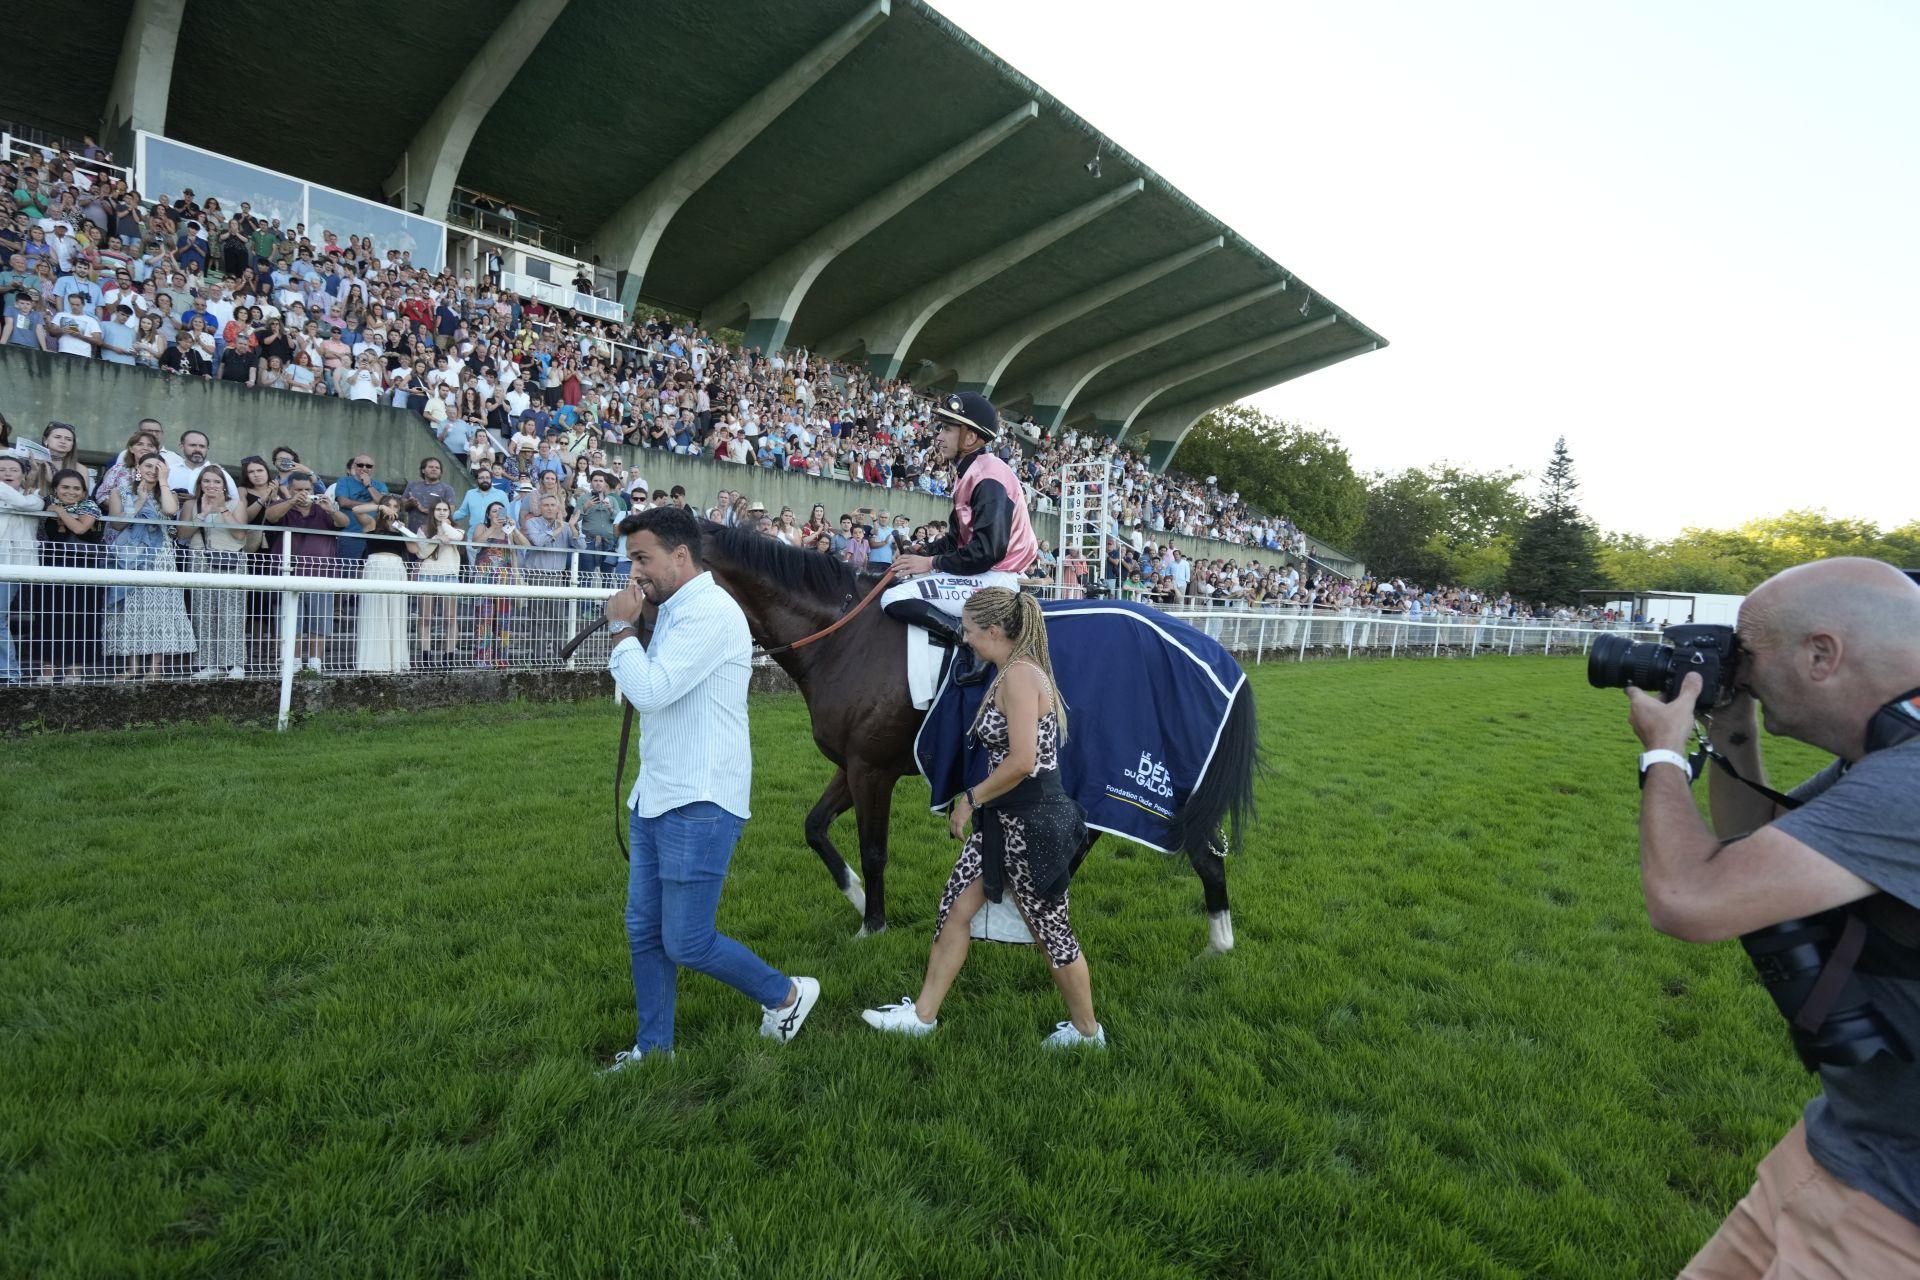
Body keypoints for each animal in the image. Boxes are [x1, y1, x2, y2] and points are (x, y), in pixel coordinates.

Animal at [691, 521, 1259, 951]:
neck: (843, 636)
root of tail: (1216, 656)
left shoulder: (871, 768)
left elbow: (874, 849)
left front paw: (872, 925)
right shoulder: (852, 764)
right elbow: (814, 827)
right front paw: (855, 896)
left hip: (1158, 780)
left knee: (1202, 853)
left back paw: (1216, 946)